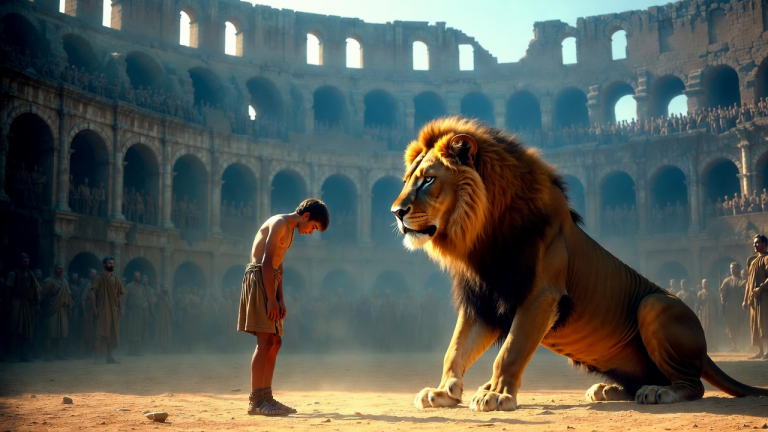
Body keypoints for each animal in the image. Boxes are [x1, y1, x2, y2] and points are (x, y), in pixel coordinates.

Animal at [390, 116, 768, 411]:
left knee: (694, 385)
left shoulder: (541, 295)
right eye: (408, 180)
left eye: (428, 179)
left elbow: (510, 351)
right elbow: (454, 350)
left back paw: (659, 392)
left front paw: (497, 396)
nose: (396, 211)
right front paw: (443, 392)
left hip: (655, 305)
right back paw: (608, 390)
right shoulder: (481, 301)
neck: (480, 237)